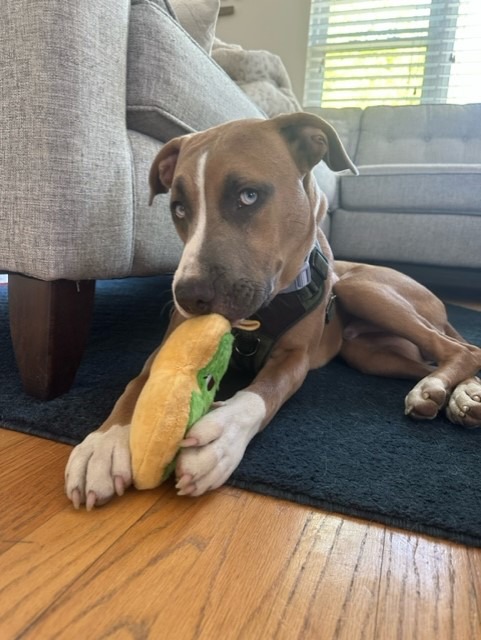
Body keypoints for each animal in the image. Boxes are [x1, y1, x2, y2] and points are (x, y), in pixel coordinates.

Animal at [64, 111, 480, 510]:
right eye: (179, 209)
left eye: (248, 196)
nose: (187, 295)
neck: (259, 316)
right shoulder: (168, 345)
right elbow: (137, 382)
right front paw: (103, 444)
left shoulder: (295, 358)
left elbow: (264, 391)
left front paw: (223, 435)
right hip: (368, 353)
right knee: (443, 359)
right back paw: (459, 395)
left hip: (361, 289)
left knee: (462, 349)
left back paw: (441, 388)